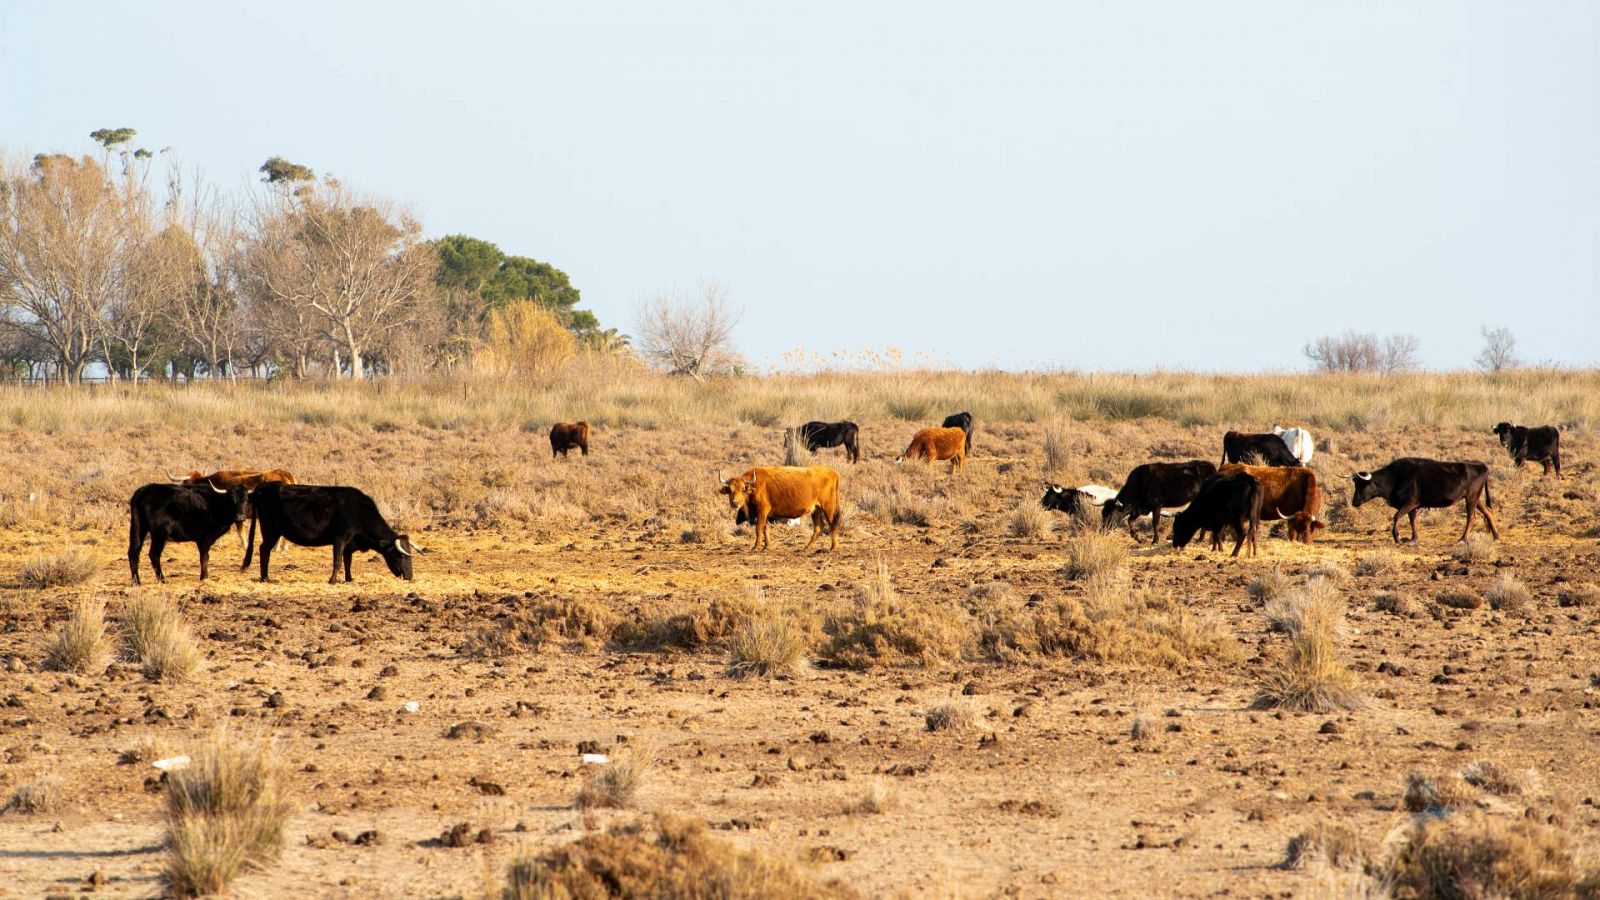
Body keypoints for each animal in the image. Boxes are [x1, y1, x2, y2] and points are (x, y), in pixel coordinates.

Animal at [243, 483, 419, 582]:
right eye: (402, 555)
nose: (410, 576)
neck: (359, 512)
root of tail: (262, 489)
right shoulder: (340, 539)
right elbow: (338, 561)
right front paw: (333, 580)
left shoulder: (349, 545)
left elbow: (347, 562)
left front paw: (349, 579)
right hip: (271, 531)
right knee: (264, 550)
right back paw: (266, 578)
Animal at [1350, 458, 1497, 544]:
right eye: (1355, 485)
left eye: (1363, 485)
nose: (1354, 502)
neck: (1395, 477)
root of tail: (1482, 465)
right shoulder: (1413, 507)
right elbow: (1412, 520)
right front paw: (1413, 539)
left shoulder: (1410, 503)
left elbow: (1397, 517)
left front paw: (1397, 537)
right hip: (1475, 499)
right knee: (1488, 513)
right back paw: (1496, 536)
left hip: (1471, 498)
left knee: (1471, 517)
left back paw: (1463, 539)